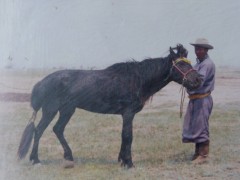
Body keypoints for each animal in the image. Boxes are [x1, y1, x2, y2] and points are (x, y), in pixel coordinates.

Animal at [17, 44, 202, 168]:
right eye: (182, 64)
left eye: (189, 63)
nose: (197, 80)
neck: (137, 79)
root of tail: (42, 82)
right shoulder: (128, 113)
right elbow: (128, 136)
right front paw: (128, 163)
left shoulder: (126, 115)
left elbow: (123, 136)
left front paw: (122, 160)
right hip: (50, 110)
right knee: (39, 131)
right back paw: (35, 160)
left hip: (67, 110)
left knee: (58, 129)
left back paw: (68, 156)